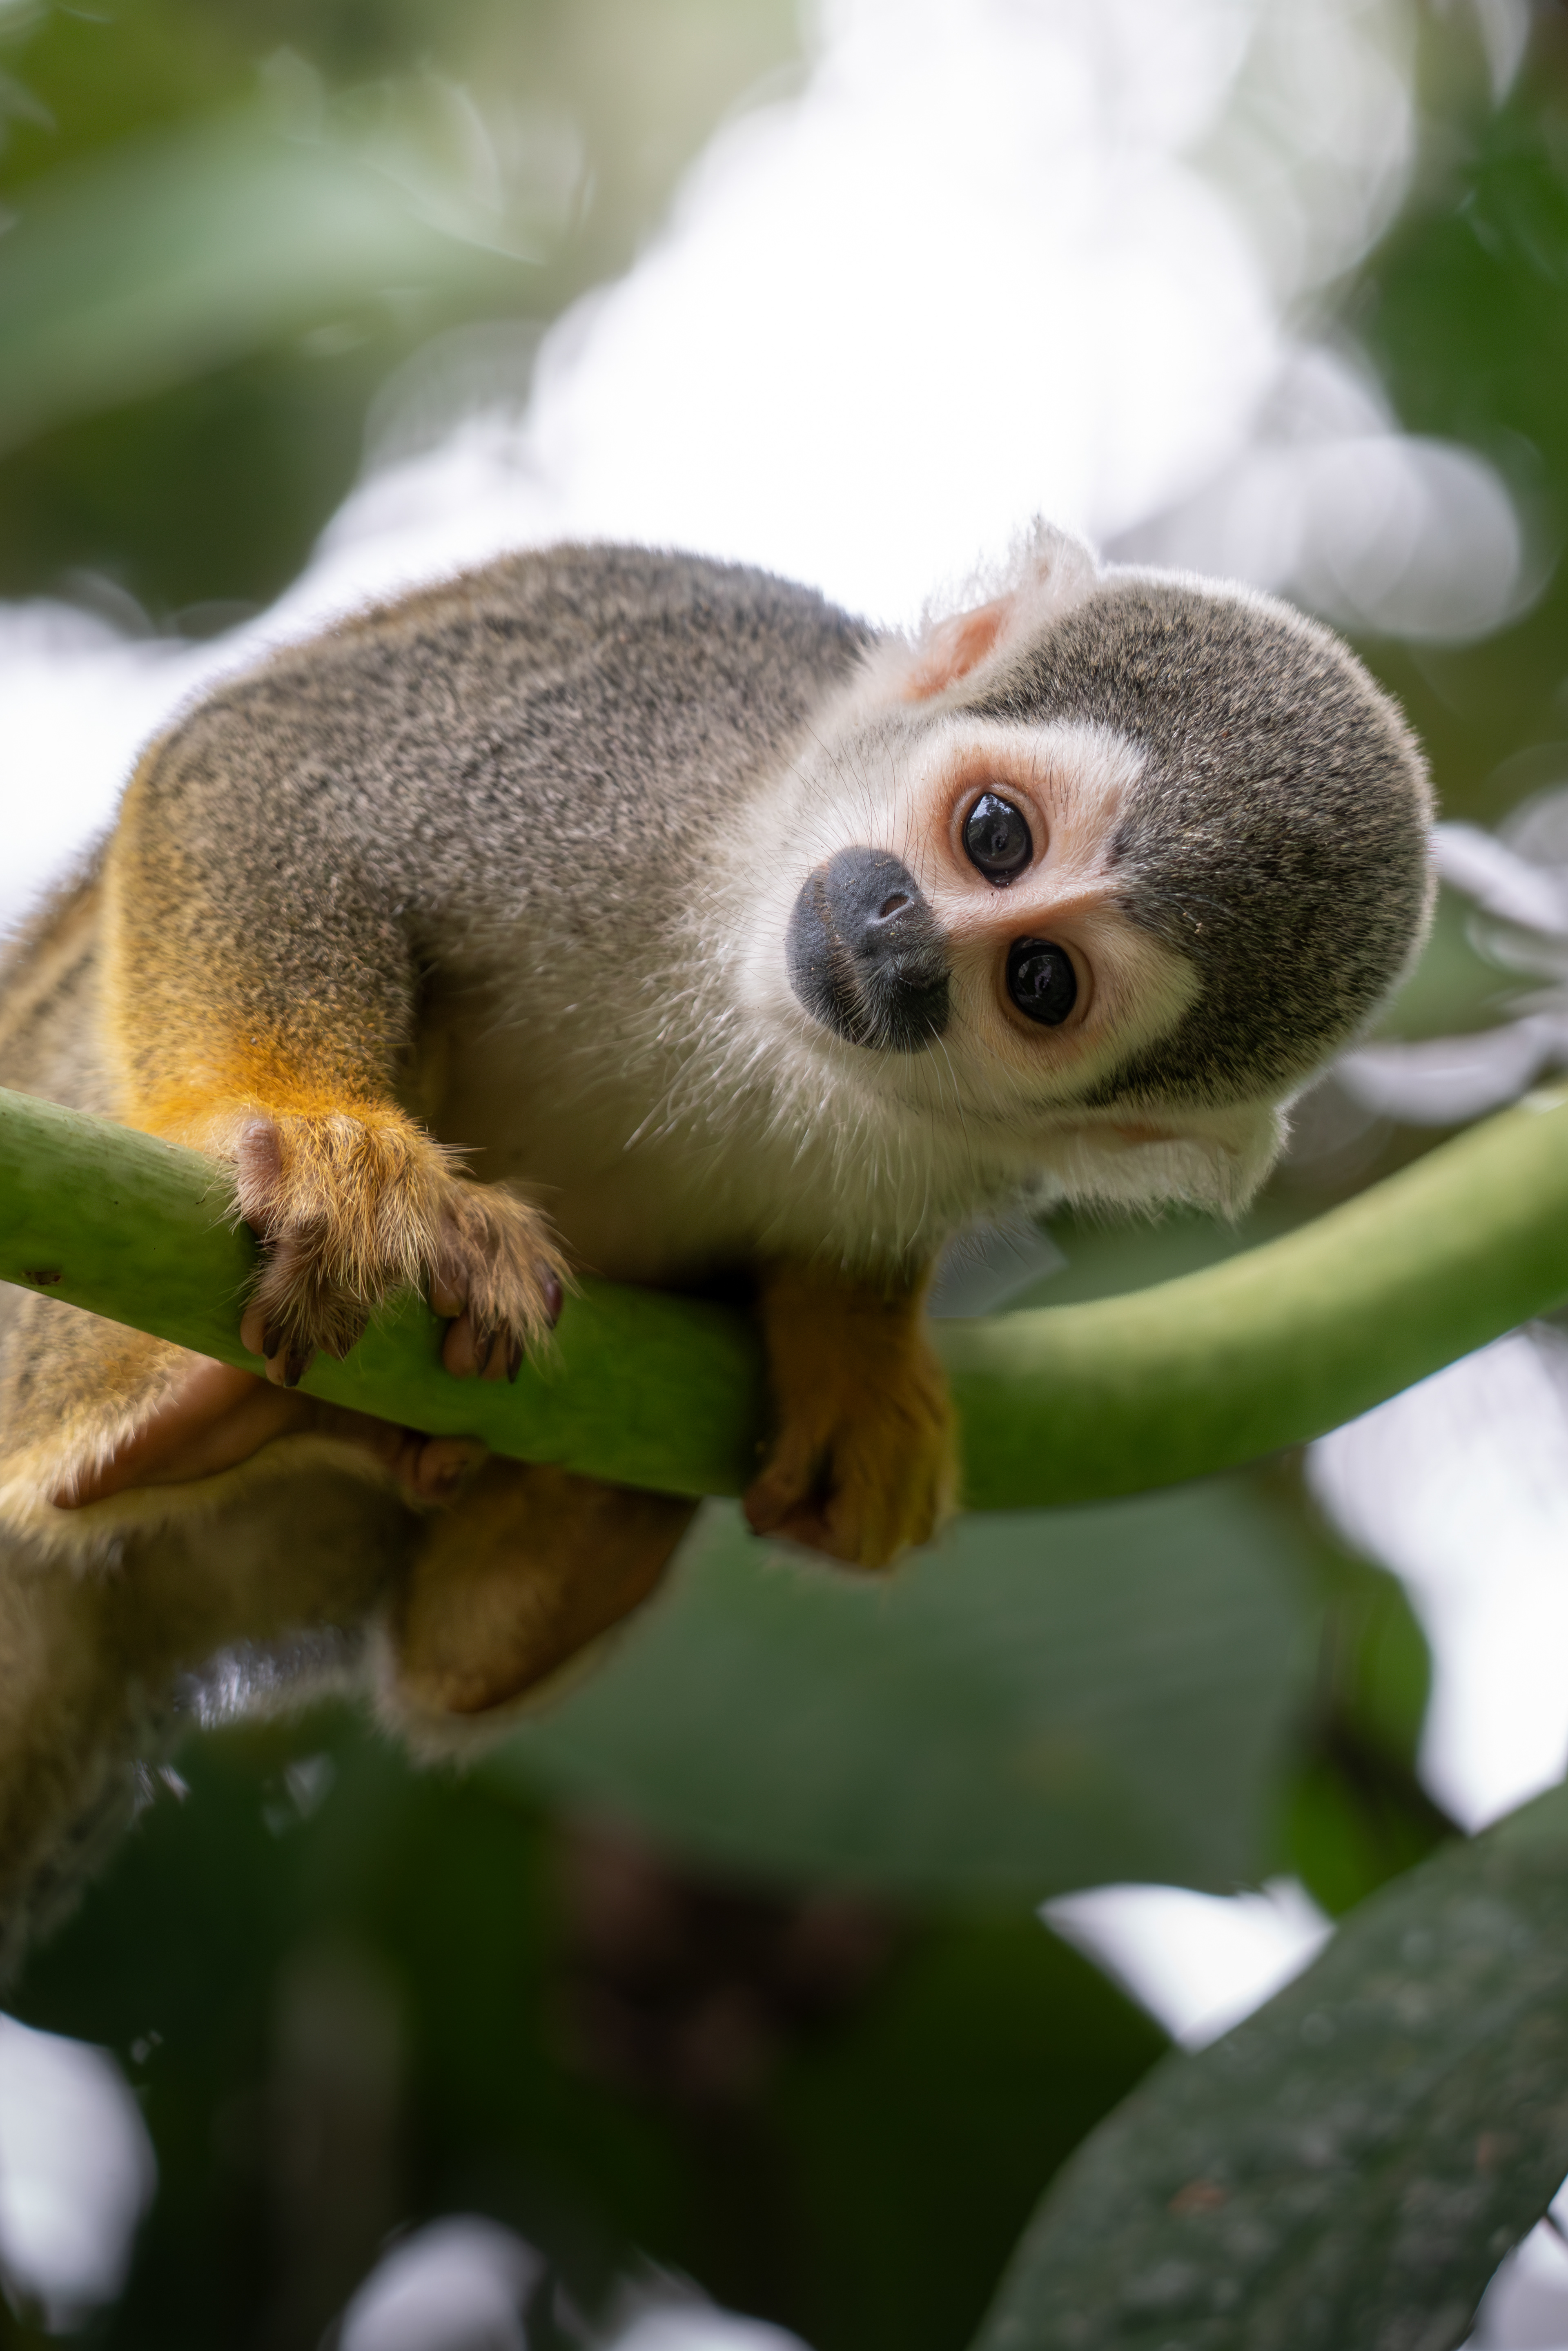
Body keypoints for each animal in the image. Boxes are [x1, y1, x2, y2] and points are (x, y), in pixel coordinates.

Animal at [0, 526, 1432, 1969]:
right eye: (994, 833)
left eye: (1038, 983)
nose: (900, 937)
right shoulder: (623, 737)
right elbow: (271, 767)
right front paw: (311, 1131)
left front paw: (852, 1348)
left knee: (444, 1658)